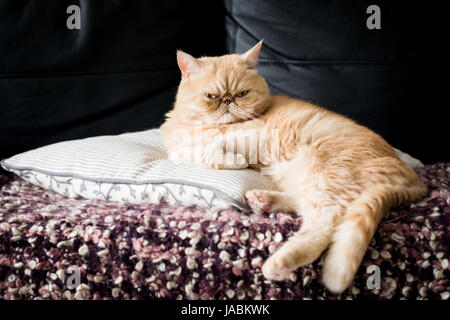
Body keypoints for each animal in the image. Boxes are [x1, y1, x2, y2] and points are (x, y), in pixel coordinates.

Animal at [160, 41, 428, 294]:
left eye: (242, 93)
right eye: (211, 96)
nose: (227, 100)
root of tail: (415, 181)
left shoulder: (252, 135)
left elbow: (214, 147)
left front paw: (234, 160)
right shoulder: (182, 148)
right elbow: (191, 152)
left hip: (324, 175)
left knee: (324, 224)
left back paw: (278, 263)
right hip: (307, 179)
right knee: (304, 206)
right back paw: (262, 201)